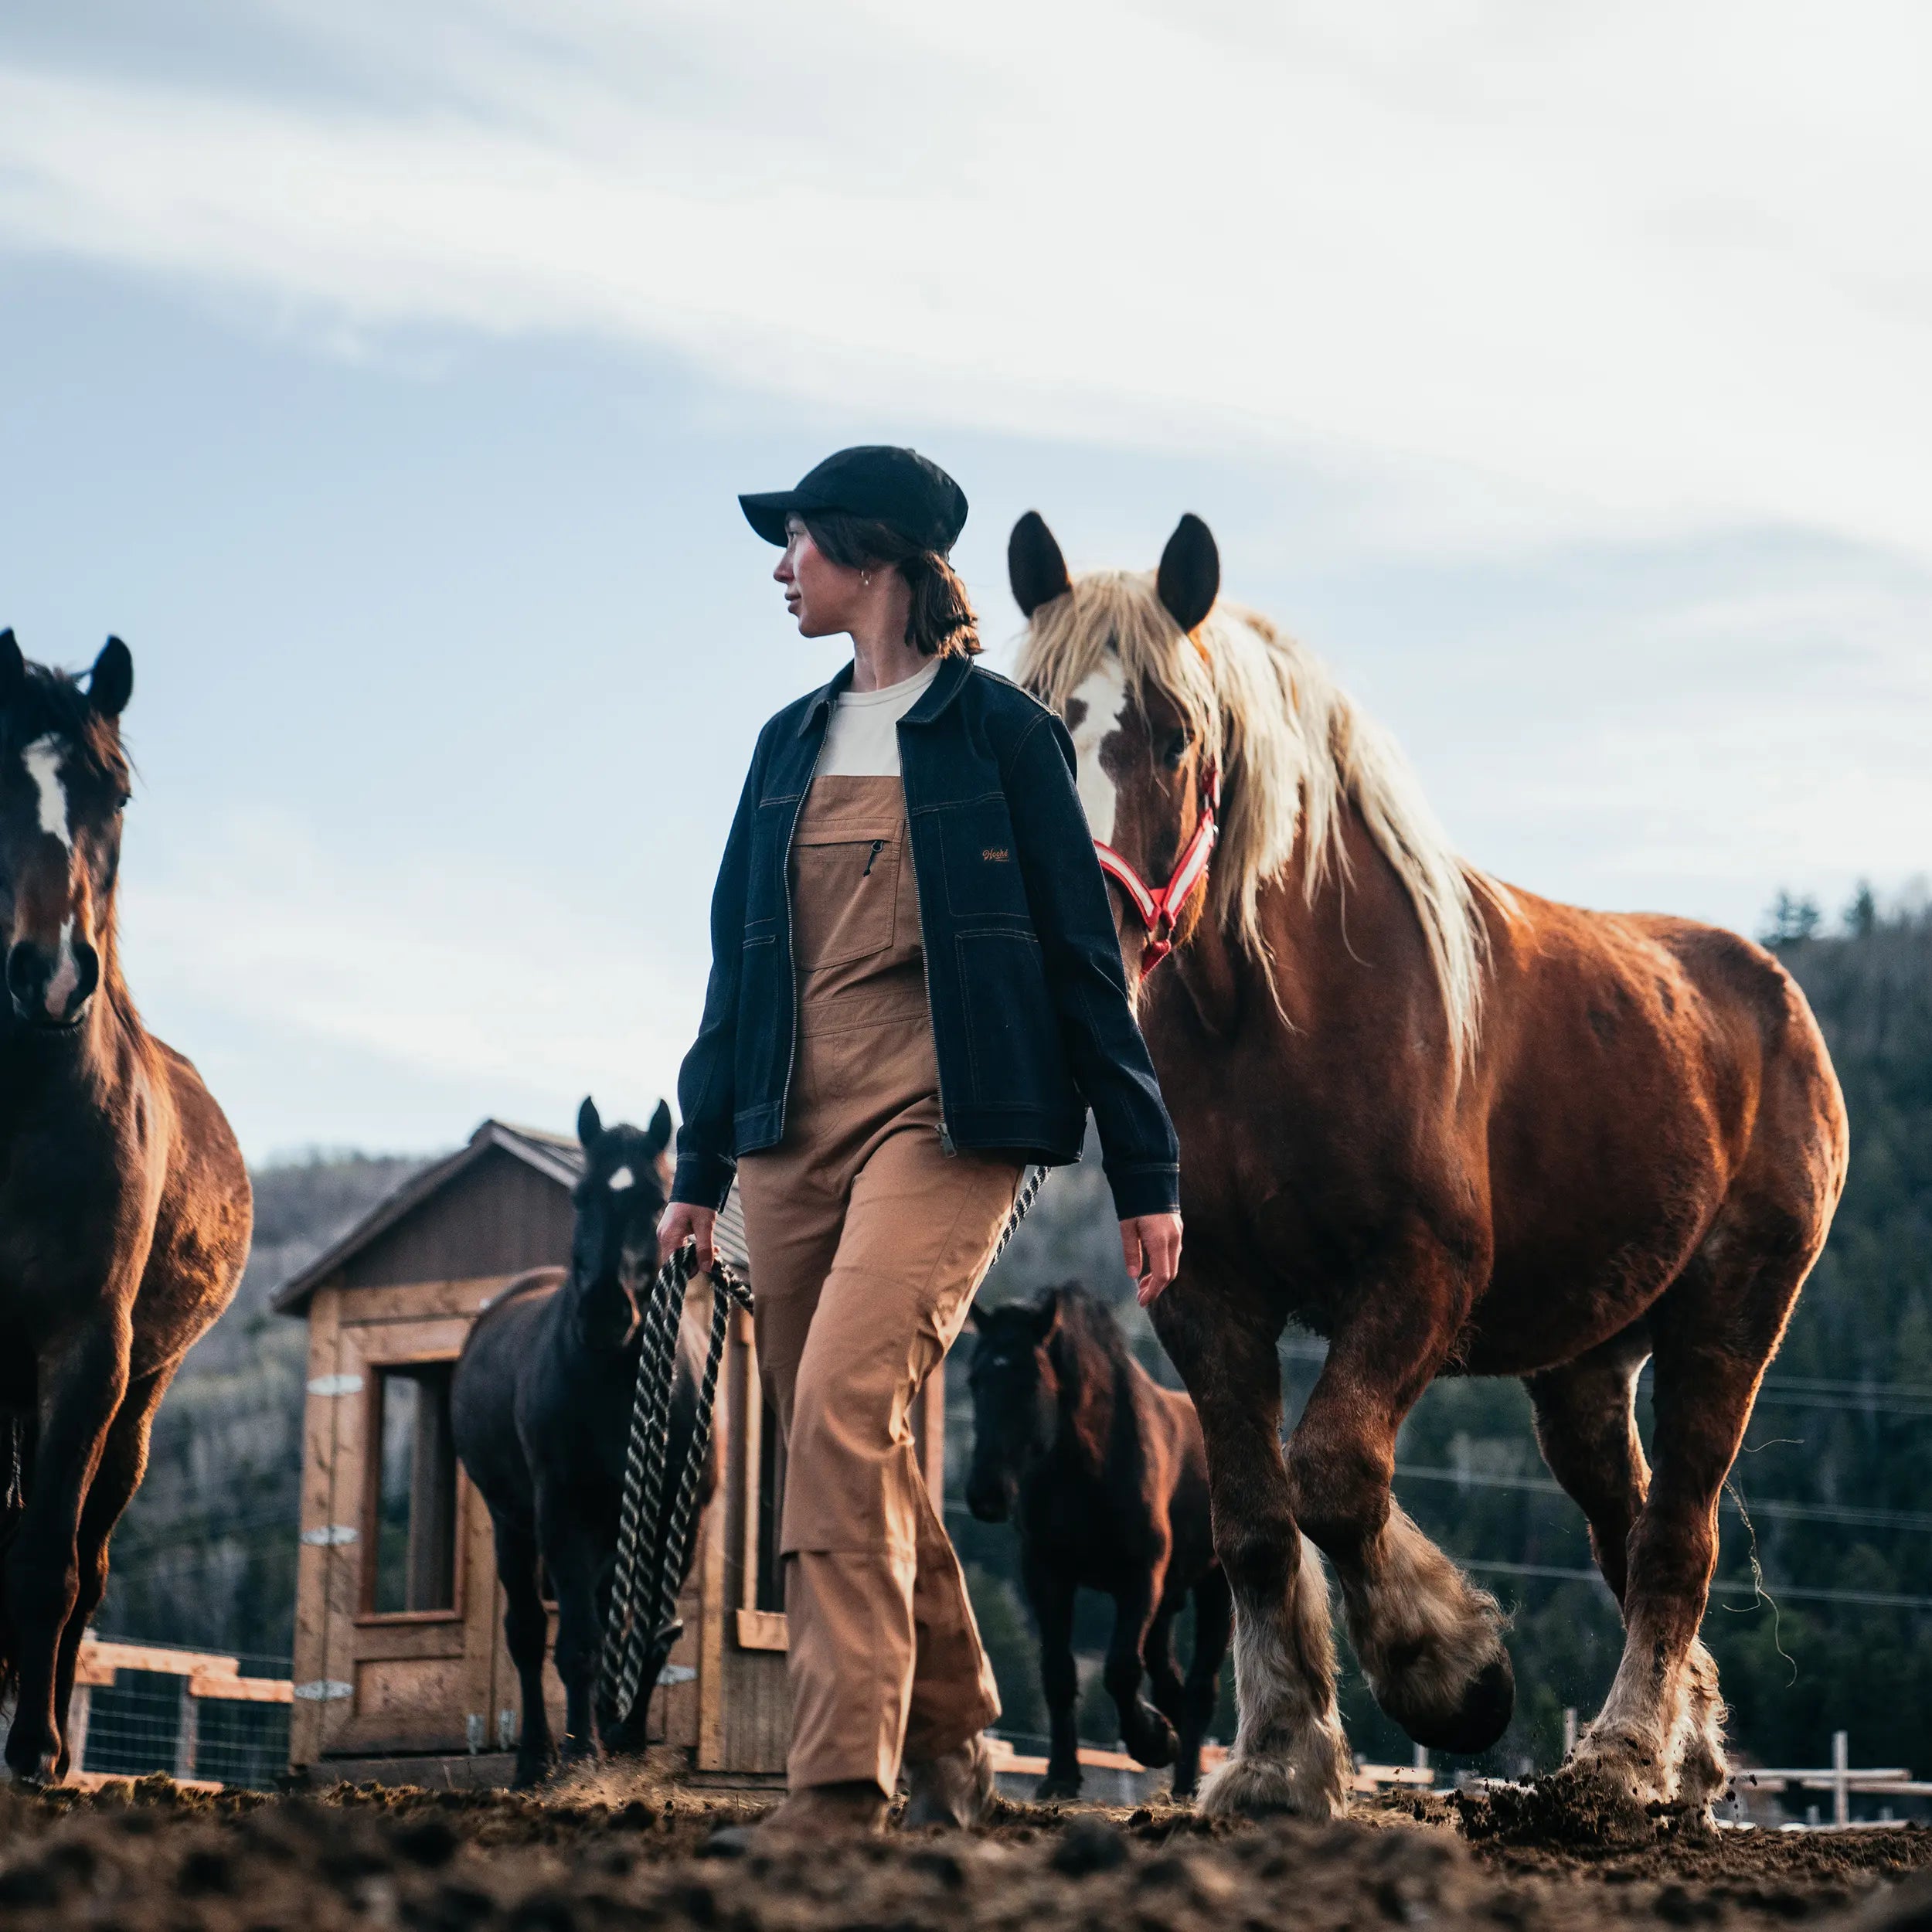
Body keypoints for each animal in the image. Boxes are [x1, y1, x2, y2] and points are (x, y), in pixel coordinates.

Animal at [448, 1097, 715, 1785]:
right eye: (579, 1195)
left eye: (656, 1198)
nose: (603, 1314)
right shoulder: (562, 1512)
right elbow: (577, 1641)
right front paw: (580, 1751)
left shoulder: (678, 1514)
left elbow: (652, 1631)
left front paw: (626, 1740)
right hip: (513, 1521)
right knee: (527, 1631)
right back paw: (537, 1757)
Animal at [962, 1291, 1229, 1801]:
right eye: (974, 1379)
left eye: (1030, 1381)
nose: (985, 1495)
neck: (1089, 1467)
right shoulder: (1047, 1575)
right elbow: (1058, 1673)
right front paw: (1061, 1776)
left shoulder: (1140, 1579)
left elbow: (1120, 1668)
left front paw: (1152, 1741)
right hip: (1167, 1603)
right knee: (1171, 1680)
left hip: (1215, 1587)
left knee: (1201, 1688)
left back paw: (1187, 1783)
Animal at [1005, 518, 1847, 1824]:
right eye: (1035, 719)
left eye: (1176, 733)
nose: (1074, 937)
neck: (1274, 1022)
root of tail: (1777, 996)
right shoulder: (1207, 1299)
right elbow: (1257, 1524)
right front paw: (1279, 1761)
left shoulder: (1418, 1278)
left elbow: (1336, 1477)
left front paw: (1456, 1673)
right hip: (1584, 1373)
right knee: (1628, 1529)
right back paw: (1689, 1756)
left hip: (1732, 1317)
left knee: (1680, 1536)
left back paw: (1620, 1758)